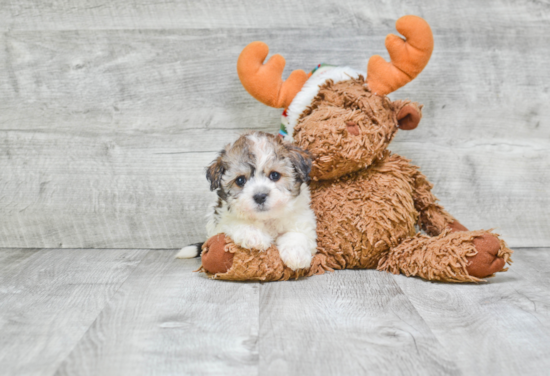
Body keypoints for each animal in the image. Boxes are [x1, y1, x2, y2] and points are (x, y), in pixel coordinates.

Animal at [178, 131, 320, 270]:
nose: (260, 196)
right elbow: (236, 222)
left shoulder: (301, 218)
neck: (267, 219)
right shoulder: (221, 221)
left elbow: (297, 234)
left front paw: (296, 254)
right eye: (240, 180)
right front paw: (254, 235)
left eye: (275, 175)